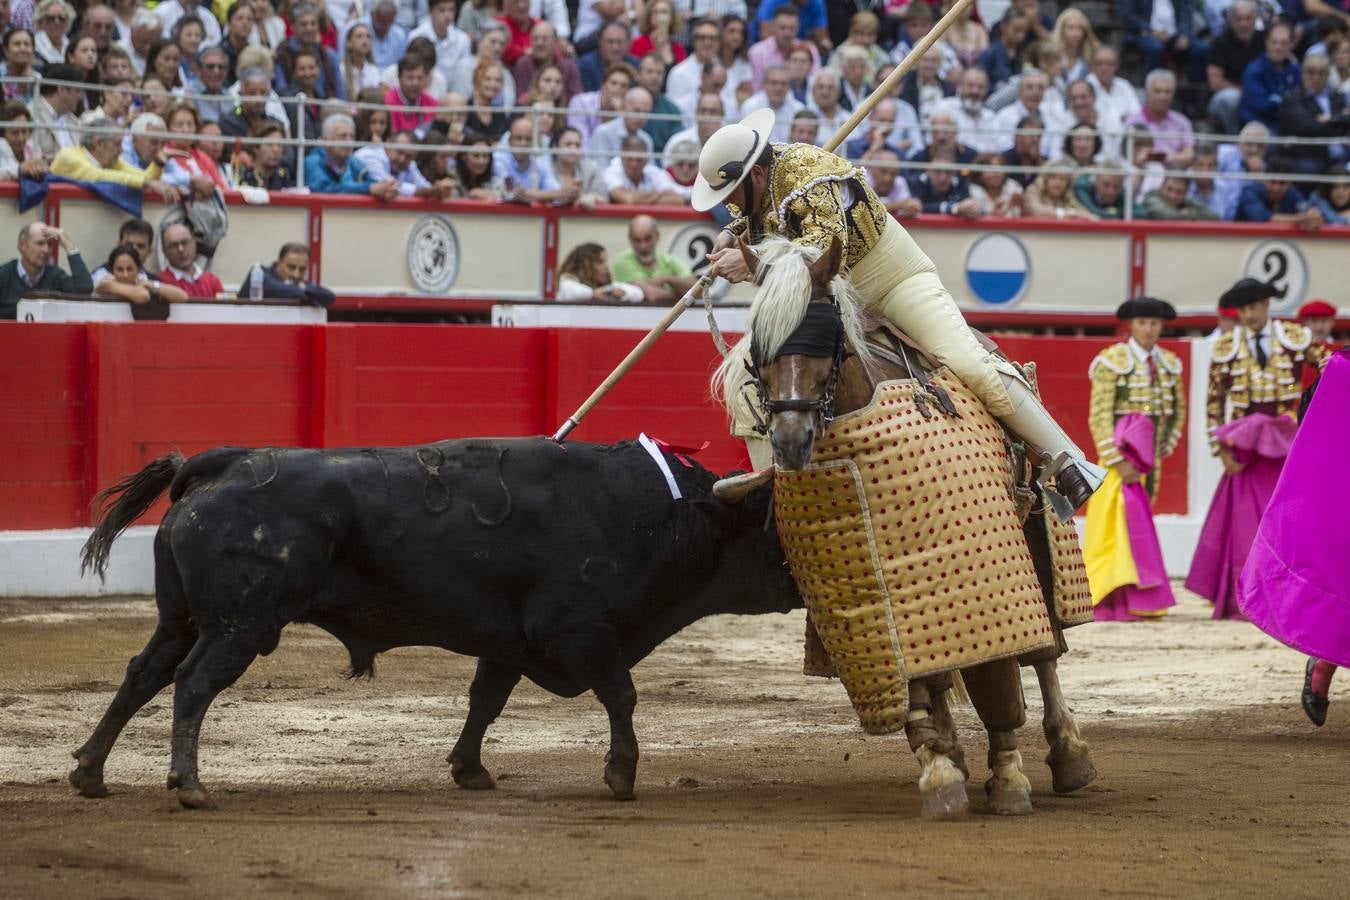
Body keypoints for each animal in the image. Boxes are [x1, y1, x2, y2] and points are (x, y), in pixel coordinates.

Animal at [73, 437, 799, 809]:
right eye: (775, 526)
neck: (660, 515)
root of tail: (216, 466)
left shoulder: (508, 642)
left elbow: (485, 701)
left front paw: (469, 770)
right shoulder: (578, 629)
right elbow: (621, 693)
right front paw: (621, 775)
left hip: (180, 619)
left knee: (142, 675)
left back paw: (89, 773)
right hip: (238, 625)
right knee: (193, 684)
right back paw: (190, 786)